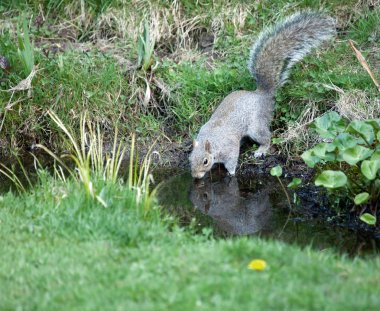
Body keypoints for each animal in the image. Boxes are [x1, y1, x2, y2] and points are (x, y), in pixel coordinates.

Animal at [190, 11, 336, 178]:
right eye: (190, 158)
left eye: (205, 161)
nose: (195, 176)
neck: (213, 141)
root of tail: (262, 94)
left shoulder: (229, 147)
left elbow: (232, 161)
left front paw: (231, 174)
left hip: (257, 126)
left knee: (267, 137)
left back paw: (261, 150)